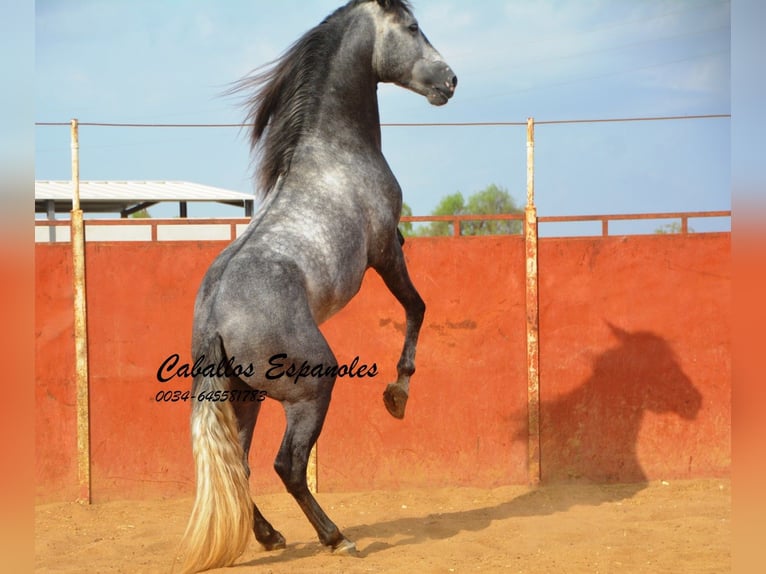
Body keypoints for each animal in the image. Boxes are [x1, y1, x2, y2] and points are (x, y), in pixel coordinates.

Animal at [179, 2, 456, 572]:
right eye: (413, 28)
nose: (450, 80)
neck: (333, 151)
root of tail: (214, 317)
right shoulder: (385, 251)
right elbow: (417, 307)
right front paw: (397, 394)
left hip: (244, 397)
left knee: (239, 466)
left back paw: (269, 537)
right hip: (312, 387)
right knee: (287, 465)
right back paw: (335, 537)